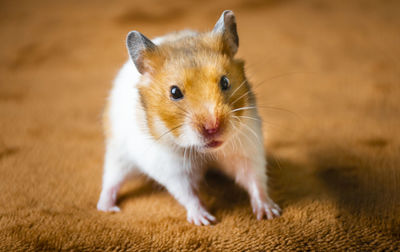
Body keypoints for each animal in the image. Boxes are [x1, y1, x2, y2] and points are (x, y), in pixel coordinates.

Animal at [97, 10, 280, 225]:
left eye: (225, 82)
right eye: (175, 92)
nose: (212, 127)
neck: (204, 152)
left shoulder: (246, 149)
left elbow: (254, 179)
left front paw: (269, 212)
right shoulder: (171, 168)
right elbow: (187, 193)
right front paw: (206, 220)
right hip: (118, 153)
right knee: (112, 179)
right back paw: (107, 207)